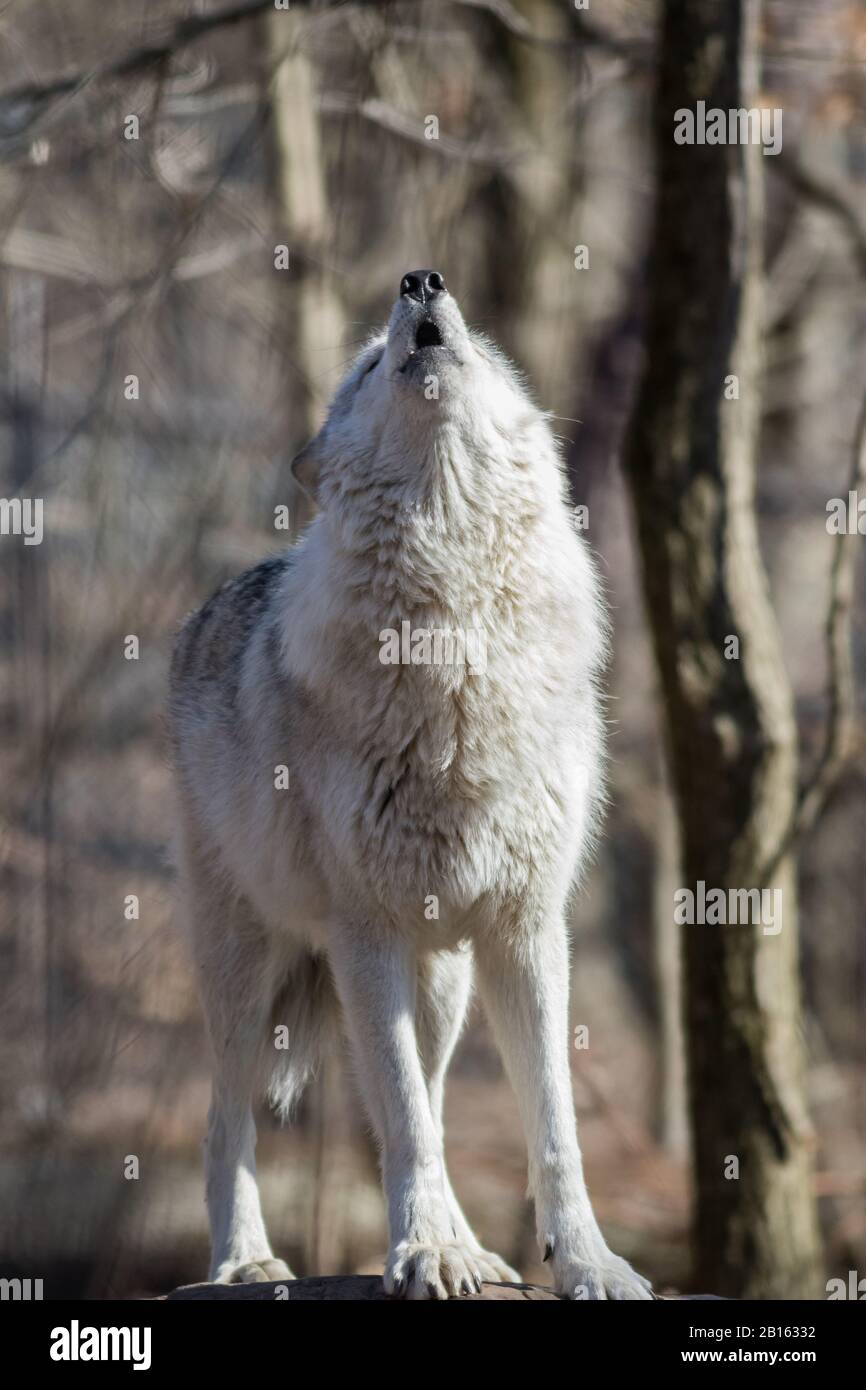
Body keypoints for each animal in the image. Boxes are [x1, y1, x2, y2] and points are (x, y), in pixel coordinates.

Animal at [169, 271, 653, 1301]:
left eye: (484, 347)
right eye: (364, 366)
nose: (421, 280)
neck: (454, 635)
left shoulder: (526, 930)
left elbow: (552, 1130)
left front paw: (585, 1262)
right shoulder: (367, 934)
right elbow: (403, 1124)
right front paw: (422, 1250)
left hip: (445, 983)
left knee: (425, 1092)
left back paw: (475, 1248)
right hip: (248, 972)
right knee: (227, 1120)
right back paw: (246, 1260)